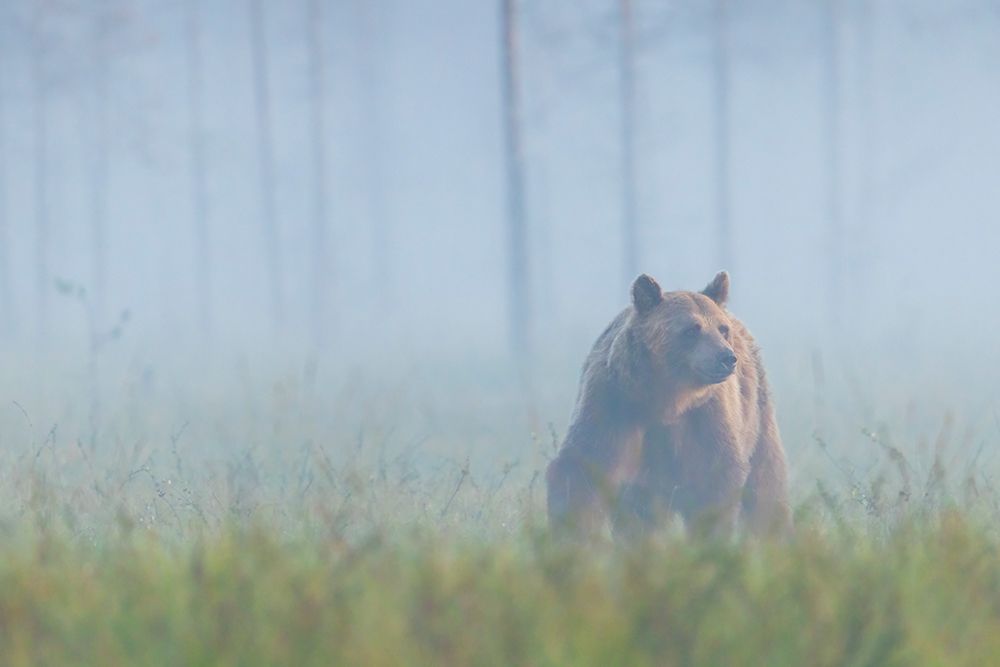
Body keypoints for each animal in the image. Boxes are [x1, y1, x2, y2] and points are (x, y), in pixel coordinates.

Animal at [545, 271, 791, 540]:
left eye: (722, 328)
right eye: (692, 329)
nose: (727, 357)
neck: (666, 401)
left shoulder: (706, 416)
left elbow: (716, 478)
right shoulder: (613, 404)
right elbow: (581, 467)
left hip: (757, 415)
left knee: (766, 486)